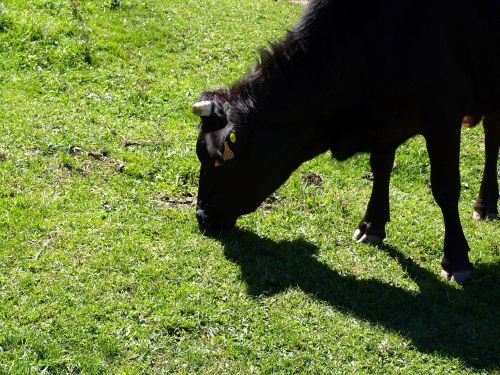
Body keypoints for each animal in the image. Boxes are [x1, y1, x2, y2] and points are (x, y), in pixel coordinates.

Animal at [192, 0, 500, 282]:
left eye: (218, 162)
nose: (201, 215)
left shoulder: (444, 112)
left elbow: (445, 188)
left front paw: (456, 258)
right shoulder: (384, 123)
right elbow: (381, 168)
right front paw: (372, 225)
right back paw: (487, 205)